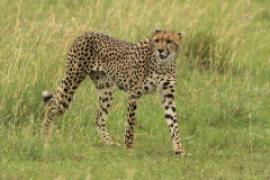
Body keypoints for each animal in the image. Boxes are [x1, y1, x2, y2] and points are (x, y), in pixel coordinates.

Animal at [42, 28, 185, 154]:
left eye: (169, 41)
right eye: (157, 40)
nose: (160, 50)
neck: (162, 64)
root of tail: (85, 33)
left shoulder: (168, 96)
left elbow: (173, 122)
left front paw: (179, 149)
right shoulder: (133, 94)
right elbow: (130, 123)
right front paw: (128, 147)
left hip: (105, 88)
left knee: (99, 117)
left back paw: (109, 143)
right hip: (73, 78)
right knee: (52, 103)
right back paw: (45, 135)